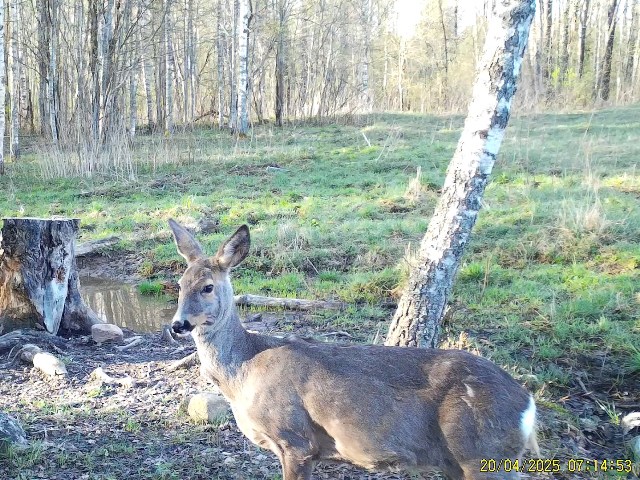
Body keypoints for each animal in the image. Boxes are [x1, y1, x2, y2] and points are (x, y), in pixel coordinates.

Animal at [168, 219, 540, 480]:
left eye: (207, 287)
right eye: (179, 284)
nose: (177, 325)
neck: (244, 371)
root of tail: (528, 404)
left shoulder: (296, 440)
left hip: (483, 454)